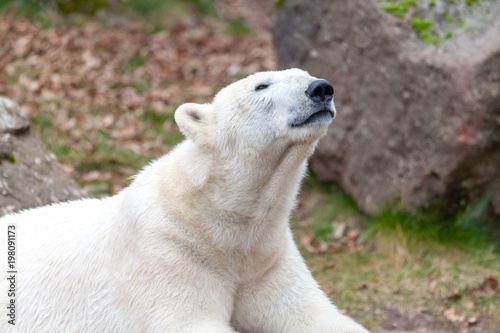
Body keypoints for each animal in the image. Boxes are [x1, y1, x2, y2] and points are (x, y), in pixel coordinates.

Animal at [0, 68, 368, 330]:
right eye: (261, 86)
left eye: (305, 73)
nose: (321, 88)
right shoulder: (169, 252)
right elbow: (188, 319)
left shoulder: (266, 257)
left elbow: (310, 314)